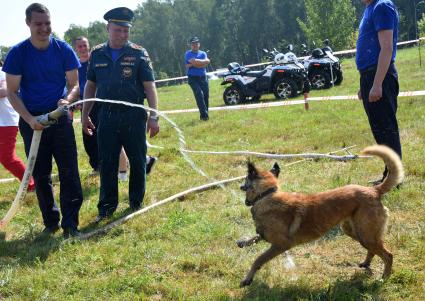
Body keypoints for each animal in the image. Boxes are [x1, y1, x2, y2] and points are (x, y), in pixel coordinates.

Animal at [237, 145, 402, 286]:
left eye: (245, 179)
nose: (239, 186)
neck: (266, 195)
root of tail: (374, 190)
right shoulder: (267, 237)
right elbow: (256, 236)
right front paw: (244, 241)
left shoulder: (280, 245)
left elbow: (258, 260)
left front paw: (247, 279)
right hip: (355, 232)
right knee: (373, 250)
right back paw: (366, 263)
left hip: (366, 235)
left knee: (388, 255)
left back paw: (383, 278)